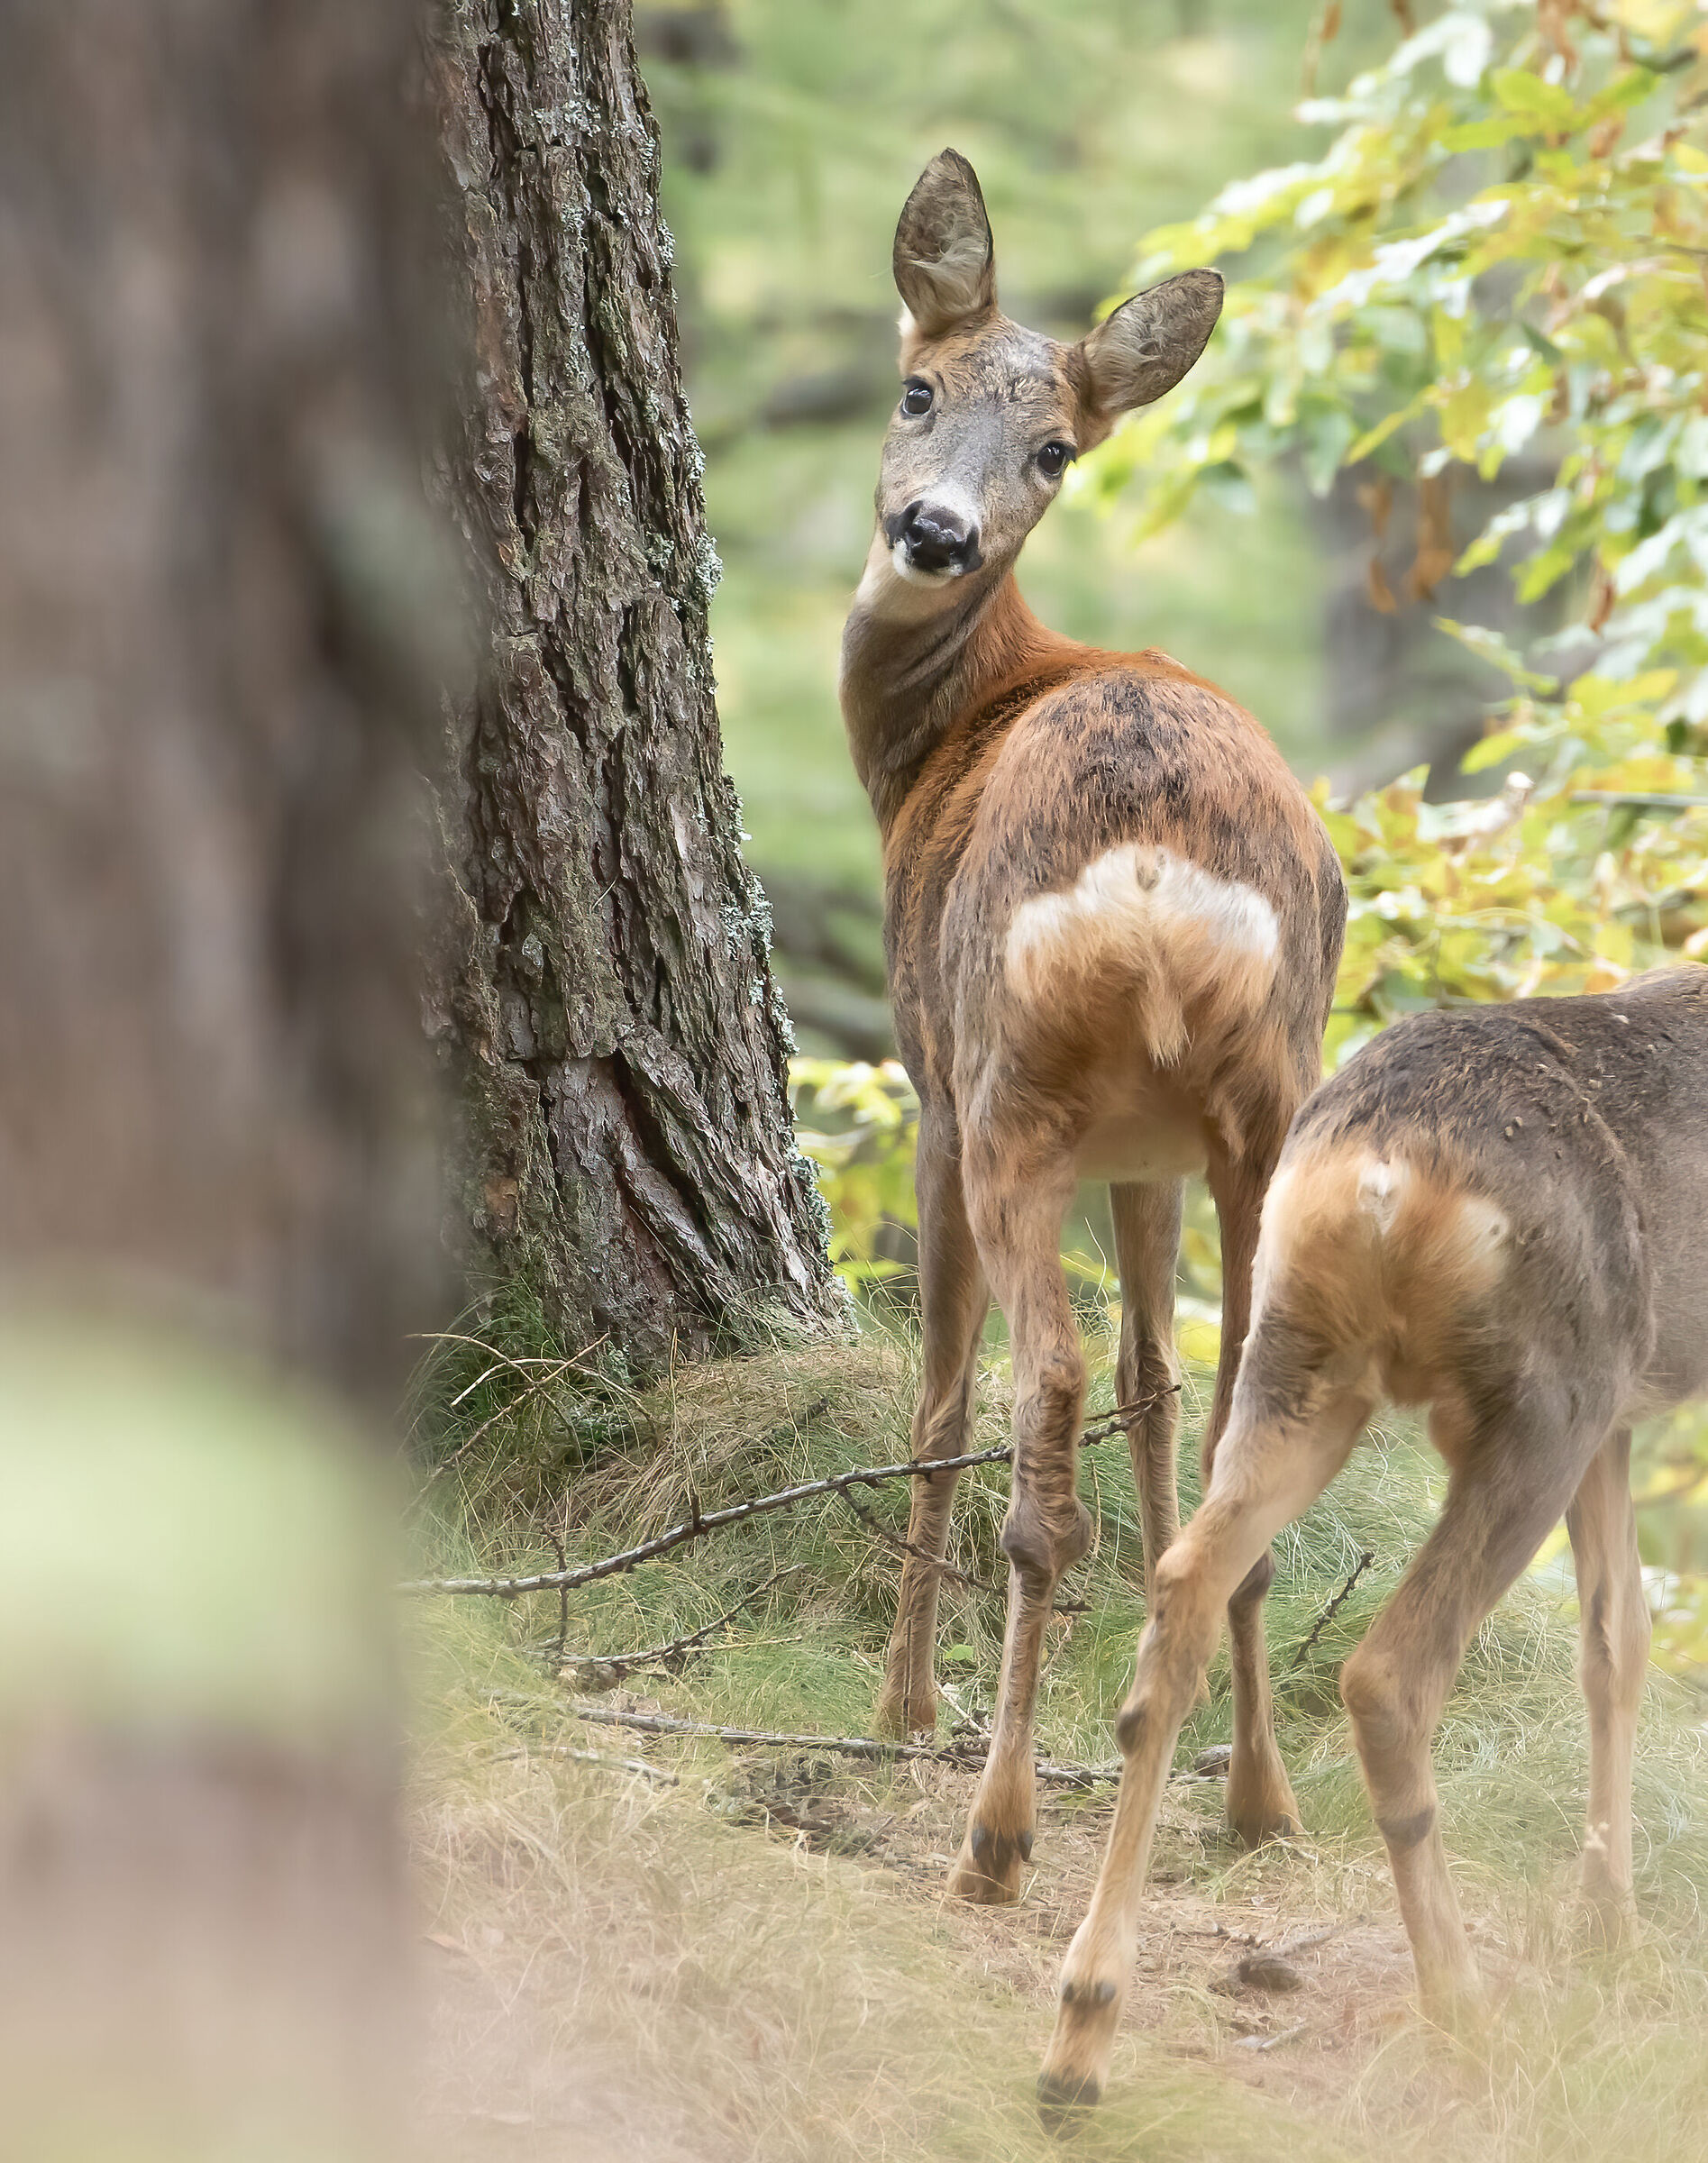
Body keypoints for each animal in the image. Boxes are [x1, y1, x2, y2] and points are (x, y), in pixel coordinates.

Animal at [839, 147, 1348, 1907]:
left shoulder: (931, 1089)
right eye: (915, 387)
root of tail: (1147, 879)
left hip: (1015, 1092)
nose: (933, 530)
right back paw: (1257, 1795)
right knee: (1239, 1415)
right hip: (1261, 1105)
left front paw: (902, 1707)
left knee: (1029, 1403)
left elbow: (938, 1395)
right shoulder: (1152, 1158)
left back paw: (994, 1832)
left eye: (1055, 447)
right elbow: (1152, 1381)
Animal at [1039, 967, 1708, 2123]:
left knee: (1182, 1589)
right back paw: (1465, 2013)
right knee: (1389, 1672)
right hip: (1541, 1398)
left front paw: (1609, 1933)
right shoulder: (1599, 1414)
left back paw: (1080, 2033)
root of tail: (1385, 1172)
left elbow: (1613, 1640)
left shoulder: (1620, 1425)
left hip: (1299, 1356)